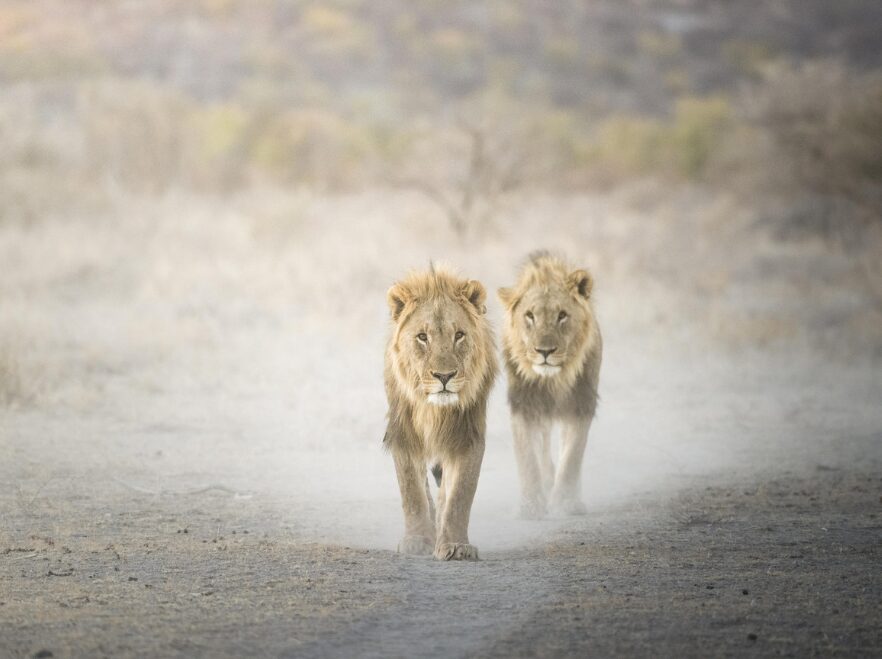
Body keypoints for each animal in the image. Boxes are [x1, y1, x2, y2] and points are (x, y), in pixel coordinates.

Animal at [383, 265, 497, 560]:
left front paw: (456, 545)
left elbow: (460, 495)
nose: (444, 376)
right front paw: (417, 540)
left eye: (459, 335)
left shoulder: (468, 435)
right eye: (423, 337)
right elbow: (411, 491)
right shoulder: (403, 433)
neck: (435, 410)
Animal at [498, 251, 602, 519]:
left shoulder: (580, 404)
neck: (553, 379)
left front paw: (566, 504)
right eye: (530, 315)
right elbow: (528, 459)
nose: (545, 351)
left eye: (562, 315)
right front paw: (530, 507)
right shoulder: (524, 406)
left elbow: (572, 456)